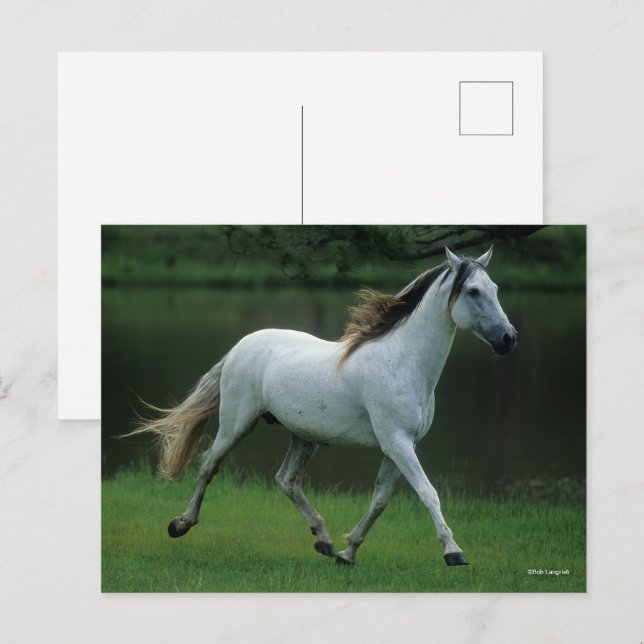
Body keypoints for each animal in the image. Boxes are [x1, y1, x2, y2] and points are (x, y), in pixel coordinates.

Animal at [129, 246, 517, 566]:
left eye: (496, 288)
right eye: (473, 291)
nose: (508, 339)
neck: (402, 362)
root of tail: (241, 346)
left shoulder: (399, 446)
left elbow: (380, 500)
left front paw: (348, 552)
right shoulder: (397, 442)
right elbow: (428, 492)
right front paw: (454, 552)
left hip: (304, 436)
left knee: (287, 480)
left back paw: (324, 540)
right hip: (236, 423)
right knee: (209, 466)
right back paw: (180, 524)